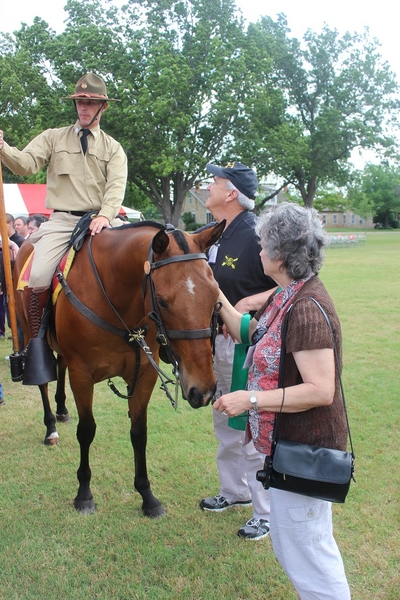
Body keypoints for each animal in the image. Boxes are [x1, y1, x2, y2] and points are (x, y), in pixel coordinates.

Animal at [13, 220, 225, 516]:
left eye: (215, 295)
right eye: (162, 301)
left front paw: (147, 495)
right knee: (44, 380)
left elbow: (139, 432)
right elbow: (86, 430)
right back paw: (51, 427)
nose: (202, 390)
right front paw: (84, 494)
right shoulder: (82, 375)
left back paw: (62, 409)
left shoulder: (144, 374)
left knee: (59, 366)